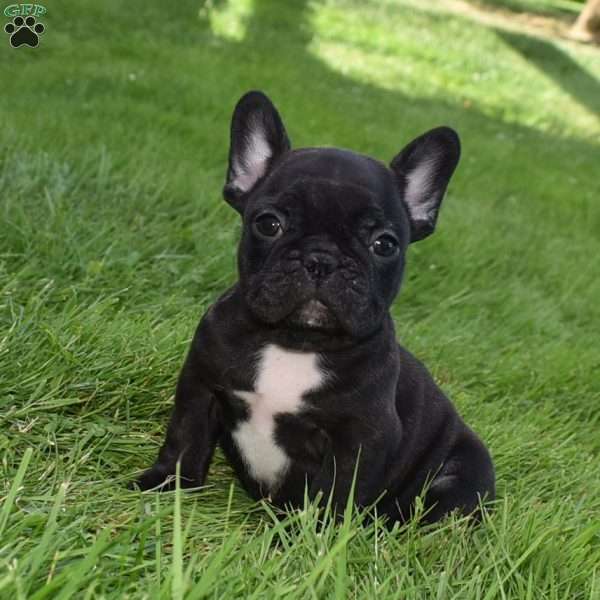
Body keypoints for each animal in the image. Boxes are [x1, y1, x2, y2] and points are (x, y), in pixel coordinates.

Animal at [137, 90, 496, 524]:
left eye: (384, 244)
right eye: (268, 224)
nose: (321, 260)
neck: (295, 343)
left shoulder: (360, 437)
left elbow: (336, 491)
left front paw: (316, 534)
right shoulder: (201, 386)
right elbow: (185, 438)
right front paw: (164, 485)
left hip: (463, 474)